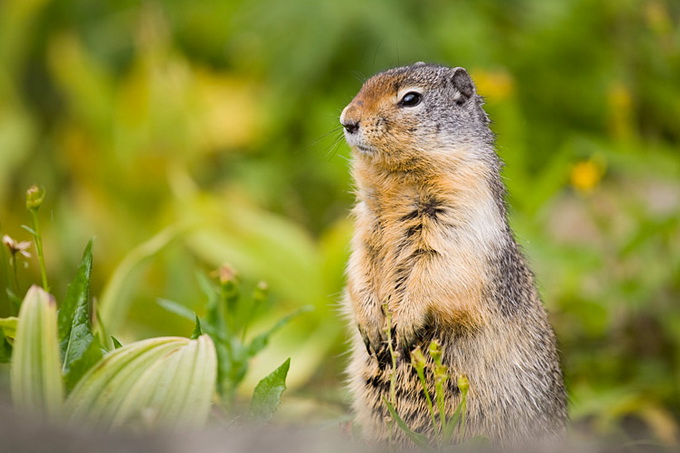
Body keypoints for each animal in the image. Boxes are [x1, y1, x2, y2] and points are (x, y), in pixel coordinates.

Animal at [340, 62, 568, 444]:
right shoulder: (364, 227)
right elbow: (357, 267)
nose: (347, 121)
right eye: (364, 86)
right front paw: (370, 323)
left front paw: (402, 325)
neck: (395, 185)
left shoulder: (460, 225)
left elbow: (439, 273)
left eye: (411, 99)